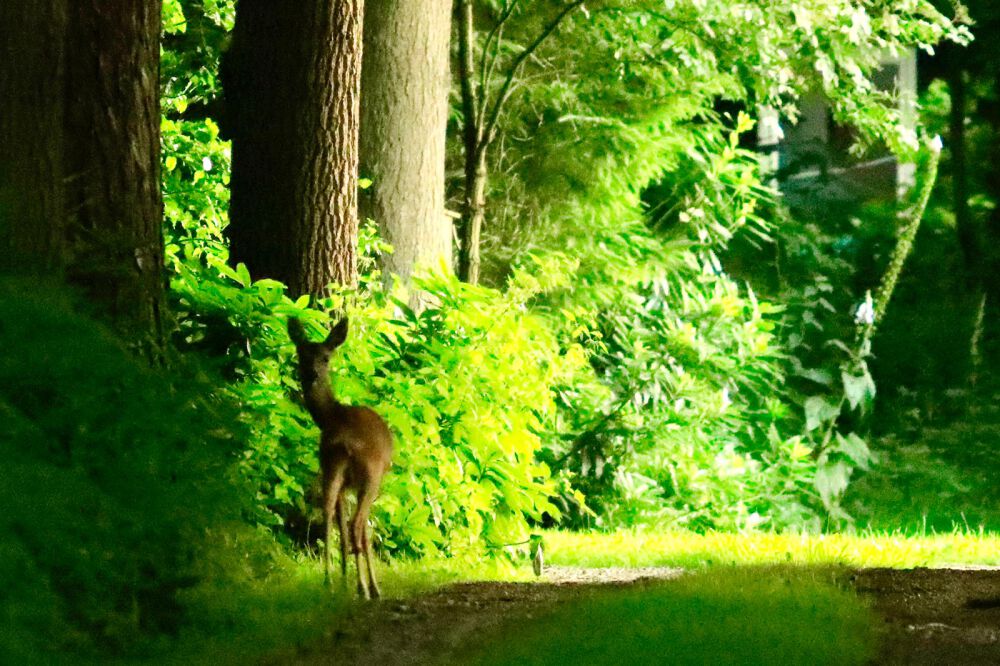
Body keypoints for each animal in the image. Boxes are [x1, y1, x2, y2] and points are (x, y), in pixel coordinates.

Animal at [287, 316, 393, 600]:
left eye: (324, 357)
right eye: (302, 354)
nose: (312, 374)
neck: (331, 415)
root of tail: (344, 440)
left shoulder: (342, 481)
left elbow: (341, 529)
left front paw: (346, 578)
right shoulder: (363, 482)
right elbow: (364, 532)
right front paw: (370, 585)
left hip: (329, 466)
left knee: (328, 514)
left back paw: (331, 581)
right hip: (370, 475)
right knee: (357, 524)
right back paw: (366, 588)